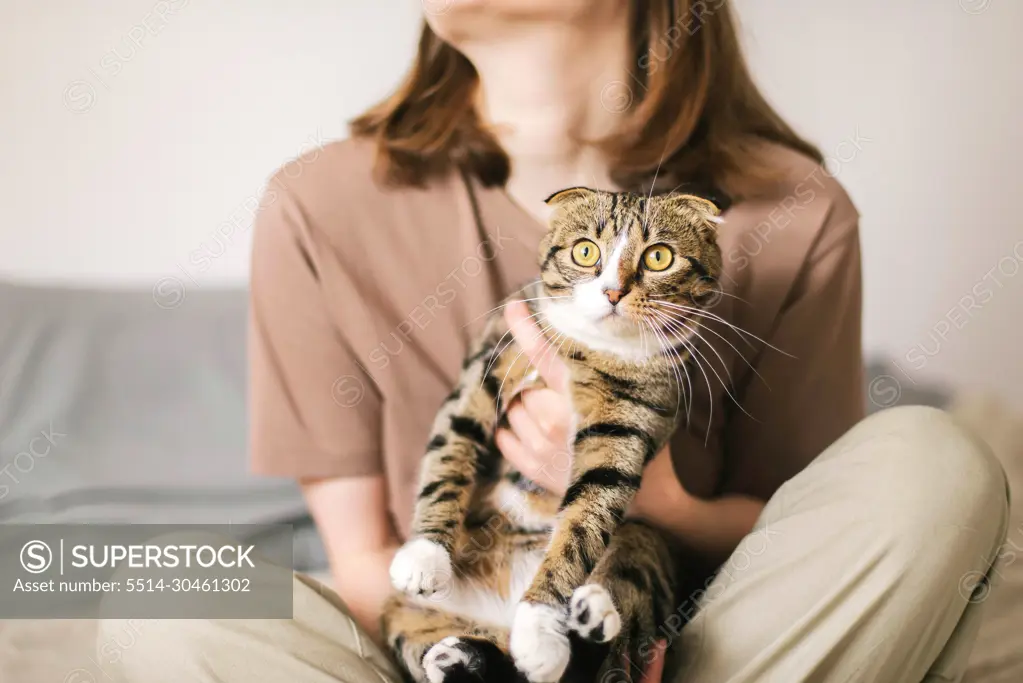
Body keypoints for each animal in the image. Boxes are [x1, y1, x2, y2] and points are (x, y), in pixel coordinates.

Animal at [384, 185, 728, 683]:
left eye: (659, 257)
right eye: (585, 251)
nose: (613, 291)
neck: (586, 350)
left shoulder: (627, 424)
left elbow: (583, 522)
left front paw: (541, 628)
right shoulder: (488, 366)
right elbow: (449, 453)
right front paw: (425, 556)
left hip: (643, 539)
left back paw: (588, 618)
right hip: (405, 614)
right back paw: (457, 656)